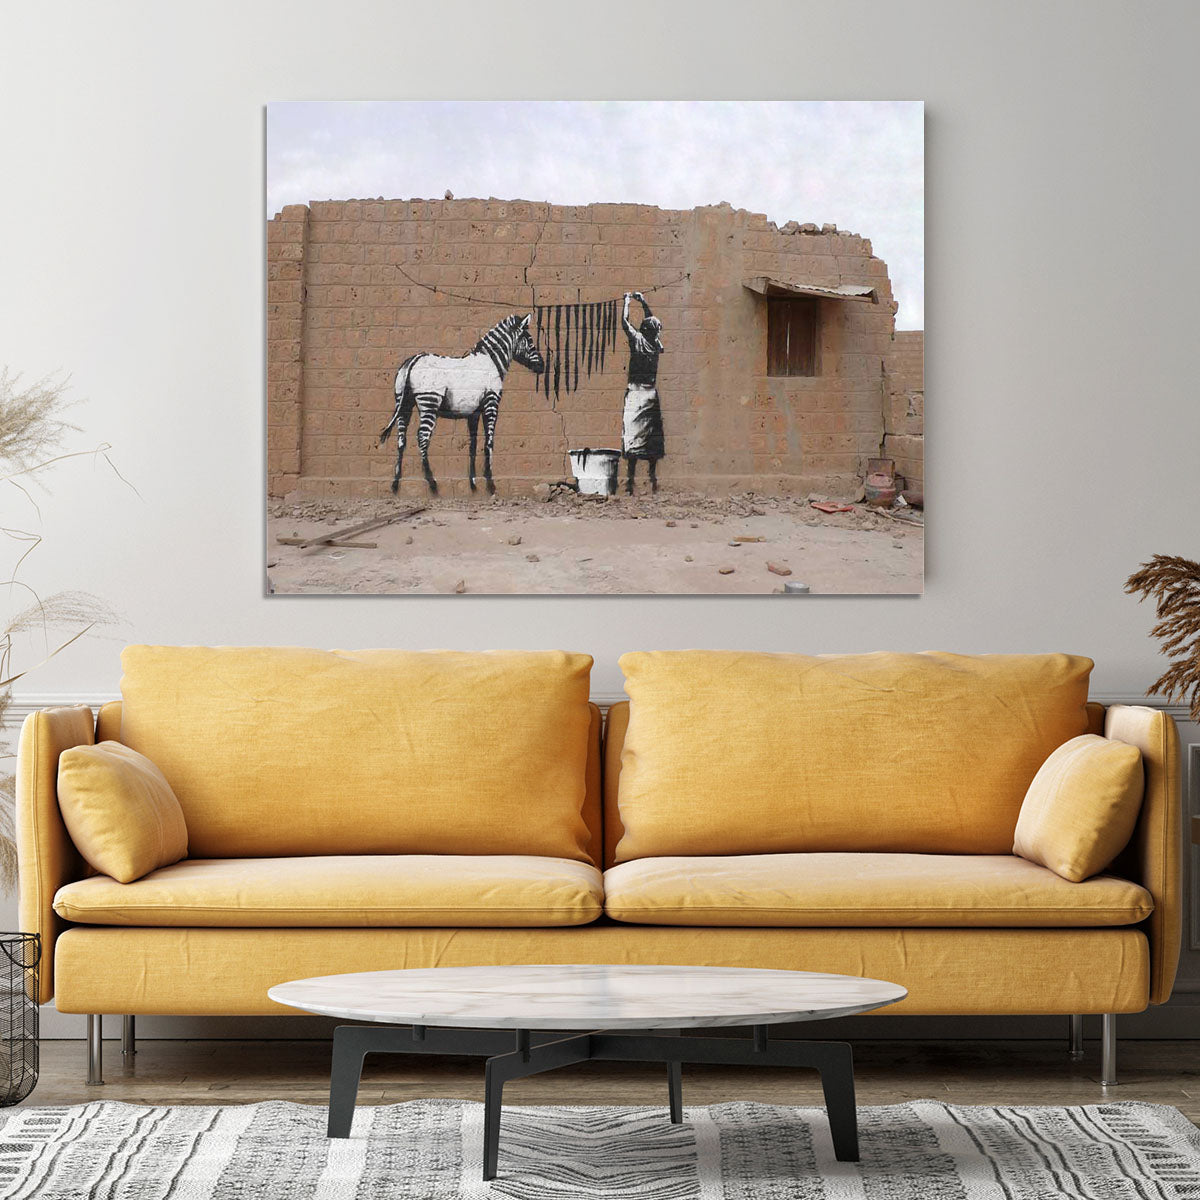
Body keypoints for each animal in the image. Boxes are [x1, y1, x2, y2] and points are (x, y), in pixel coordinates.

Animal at [378, 313, 544, 496]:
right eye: (529, 340)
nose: (542, 366)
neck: (491, 362)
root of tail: (414, 359)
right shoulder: (491, 404)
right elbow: (489, 442)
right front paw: (490, 483)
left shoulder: (474, 413)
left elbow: (473, 445)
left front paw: (473, 483)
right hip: (429, 401)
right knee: (422, 437)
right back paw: (431, 482)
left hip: (403, 403)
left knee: (401, 439)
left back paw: (395, 483)